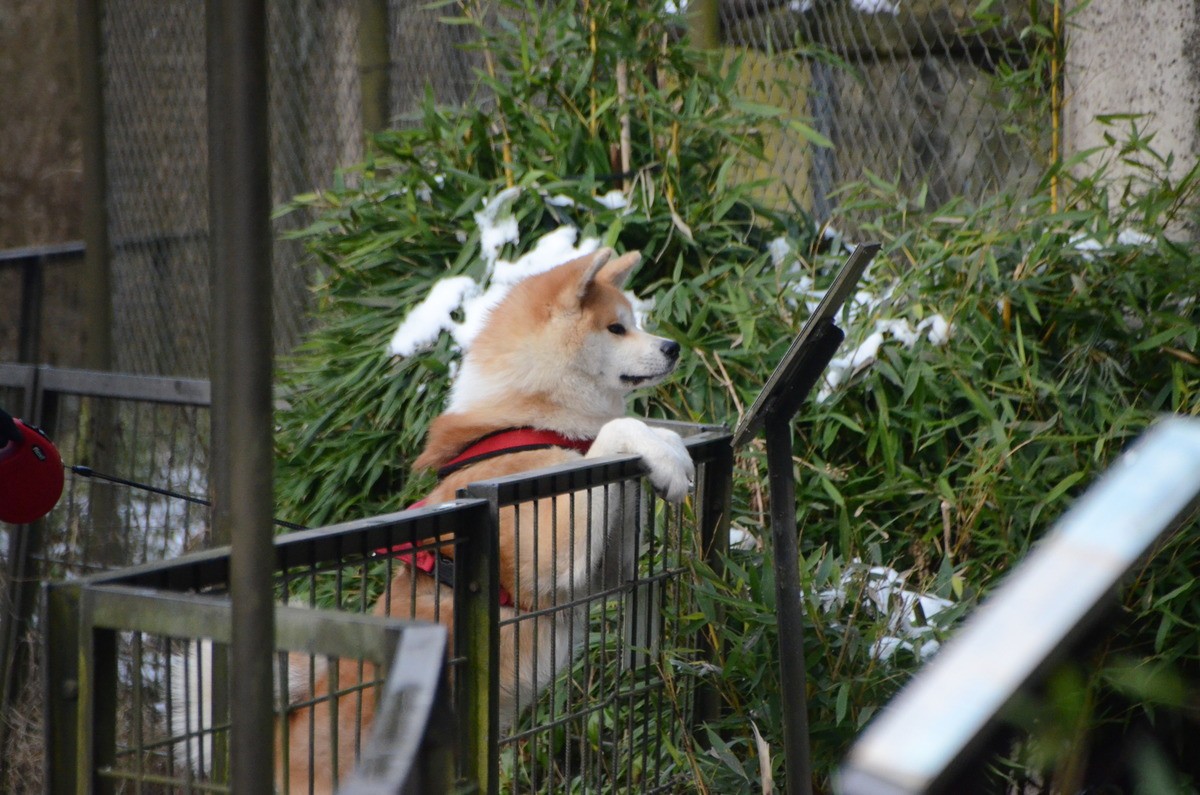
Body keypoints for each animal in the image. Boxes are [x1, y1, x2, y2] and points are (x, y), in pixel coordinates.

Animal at [266, 247, 694, 791]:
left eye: (634, 322)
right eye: (617, 328)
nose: (673, 346)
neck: (525, 419)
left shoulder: (601, 574)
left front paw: (670, 446)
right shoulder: (550, 552)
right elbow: (613, 432)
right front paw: (660, 453)